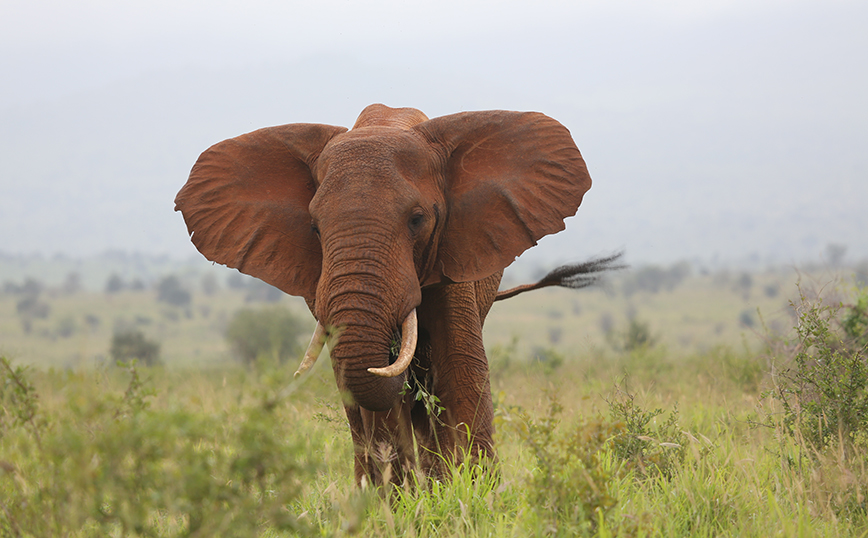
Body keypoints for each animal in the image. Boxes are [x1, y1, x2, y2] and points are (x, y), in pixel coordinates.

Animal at [173, 102, 612, 484]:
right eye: (315, 228)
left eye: (418, 219)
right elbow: (376, 396)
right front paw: (401, 503)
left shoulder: (454, 254)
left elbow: (461, 370)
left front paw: (475, 497)